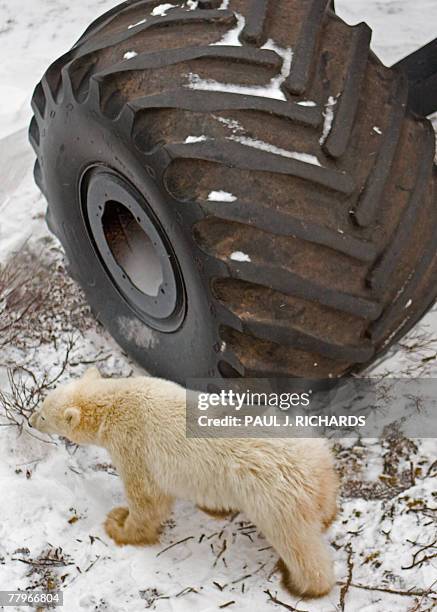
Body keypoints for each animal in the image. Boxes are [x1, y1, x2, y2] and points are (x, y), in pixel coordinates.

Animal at [29, 368, 338, 596]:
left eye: (43, 414)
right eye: (42, 405)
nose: (30, 420)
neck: (117, 401)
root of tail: (313, 468)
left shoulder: (133, 444)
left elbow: (148, 498)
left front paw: (119, 524)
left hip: (274, 498)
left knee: (296, 543)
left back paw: (302, 583)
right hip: (317, 463)